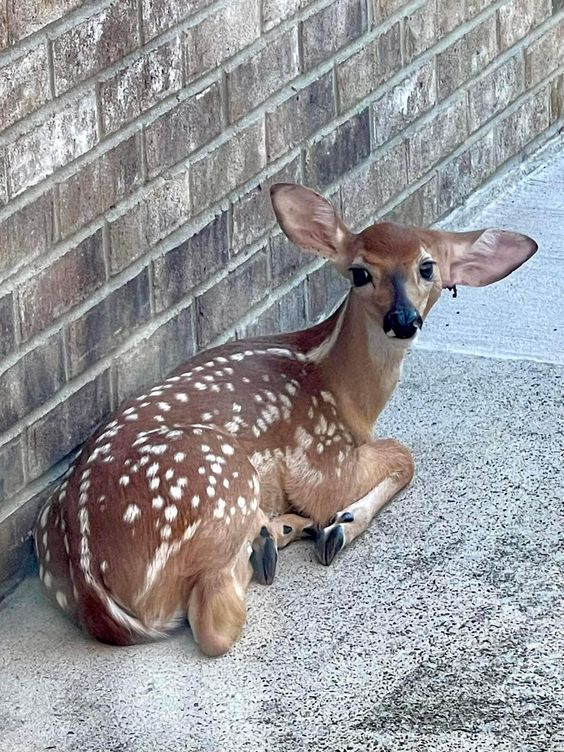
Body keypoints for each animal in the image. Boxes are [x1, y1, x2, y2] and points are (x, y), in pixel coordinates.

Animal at [33, 183, 537, 656]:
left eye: (427, 267)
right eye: (360, 272)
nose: (403, 319)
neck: (345, 394)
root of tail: (96, 594)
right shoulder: (322, 457)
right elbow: (403, 455)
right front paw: (339, 525)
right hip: (223, 475)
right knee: (217, 622)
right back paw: (269, 542)